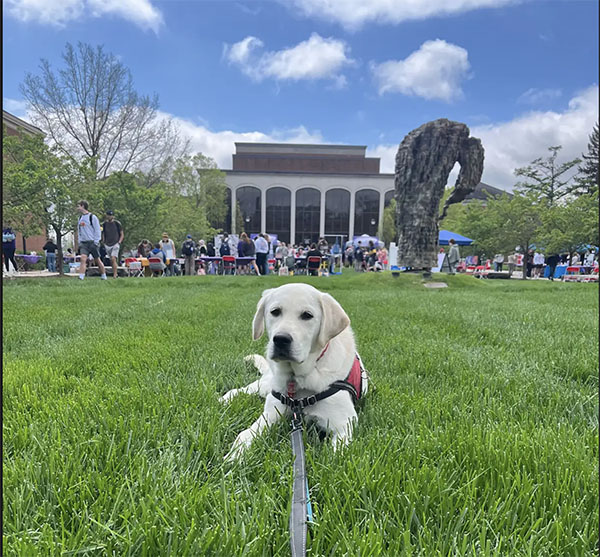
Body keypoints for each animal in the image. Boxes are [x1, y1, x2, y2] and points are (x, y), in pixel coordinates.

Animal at [221, 284, 368, 458]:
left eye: (307, 315)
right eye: (275, 312)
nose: (281, 339)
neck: (298, 379)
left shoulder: (343, 423)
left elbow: (336, 454)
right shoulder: (271, 413)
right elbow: (244, 434)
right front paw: (233, 457)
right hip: (267, 385)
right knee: (243, 389)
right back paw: (224, 399)